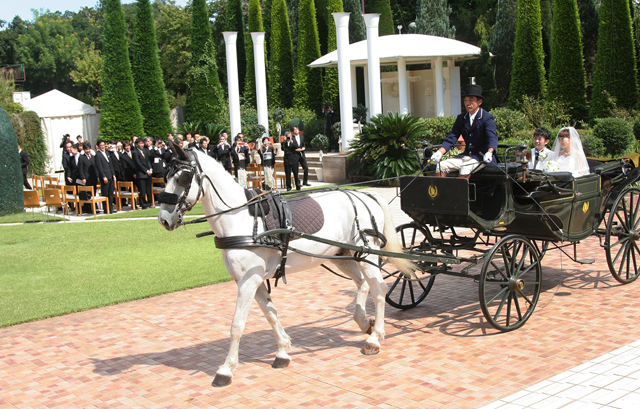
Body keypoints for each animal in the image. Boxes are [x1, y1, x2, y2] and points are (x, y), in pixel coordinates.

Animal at [158, 143, 412, 386]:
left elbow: (237, 325)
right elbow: (271, 313)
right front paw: (282, 350)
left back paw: (375, 338)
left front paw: (226, 369)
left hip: (366, 254)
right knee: (363, 284)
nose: (163, 219)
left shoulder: (248, 281)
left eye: (182, 177)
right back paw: (363, 321)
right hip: (344, 256)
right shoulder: (253, 281)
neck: (242, 220)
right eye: (165, 175)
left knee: (378, 289)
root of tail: (366, 196)